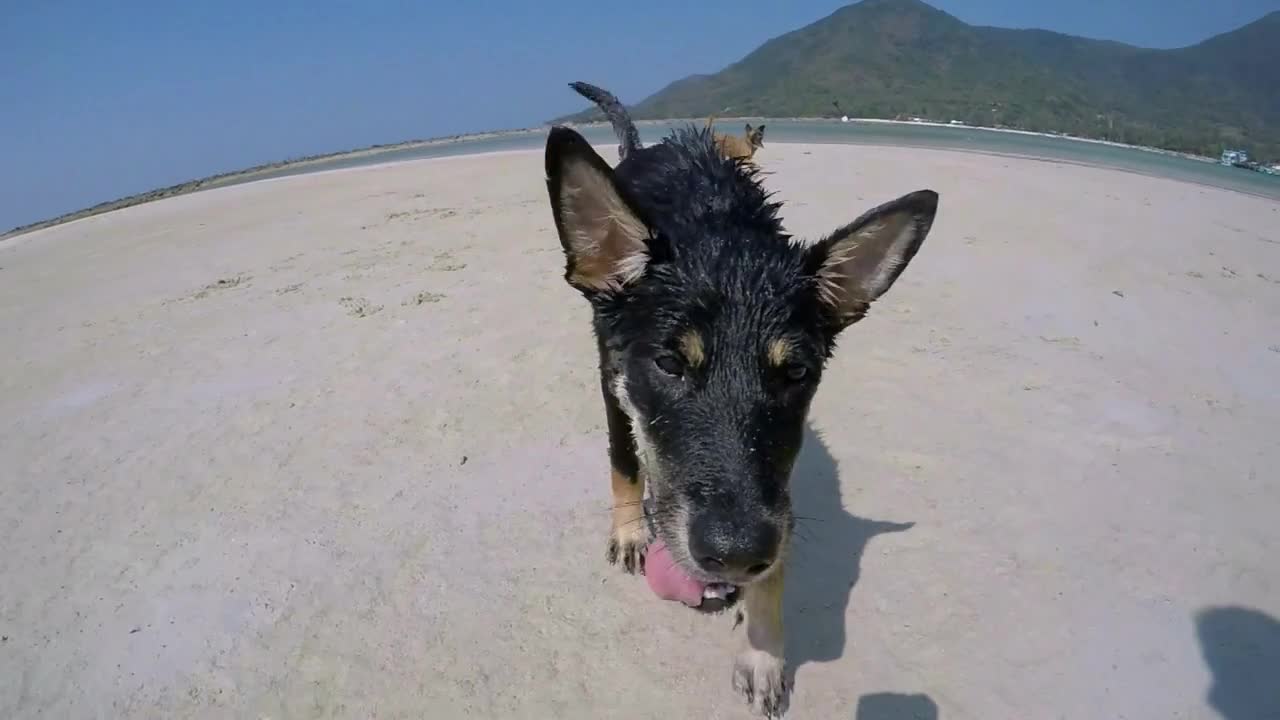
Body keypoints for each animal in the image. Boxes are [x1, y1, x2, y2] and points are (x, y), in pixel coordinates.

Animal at [542, 81, 942, 712]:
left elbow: (776, 551)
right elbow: (624, 460)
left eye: (795, 372)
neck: (717, 235)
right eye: (669, 364)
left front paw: (762, 651)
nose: (732, 555)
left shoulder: (776, 475)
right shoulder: (614, 378)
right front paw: (630, 531)